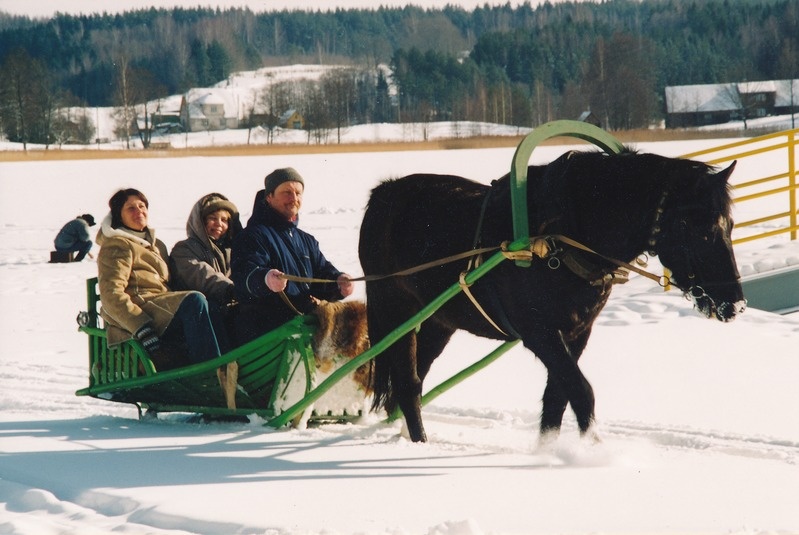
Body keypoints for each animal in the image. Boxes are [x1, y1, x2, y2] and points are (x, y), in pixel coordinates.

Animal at [360, 148, 748, 444]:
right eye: (695, 228)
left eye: (729, 226)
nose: (735, 304)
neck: (561, 233)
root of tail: (383, 194)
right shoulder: (540, 333)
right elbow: (581, 391)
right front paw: (594, 452)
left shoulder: (577, 331)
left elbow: (557, 398)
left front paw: (549, 452)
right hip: (394, 311)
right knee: (408, 383)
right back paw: (418, 443)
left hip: (440, 320)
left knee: (417, 377)